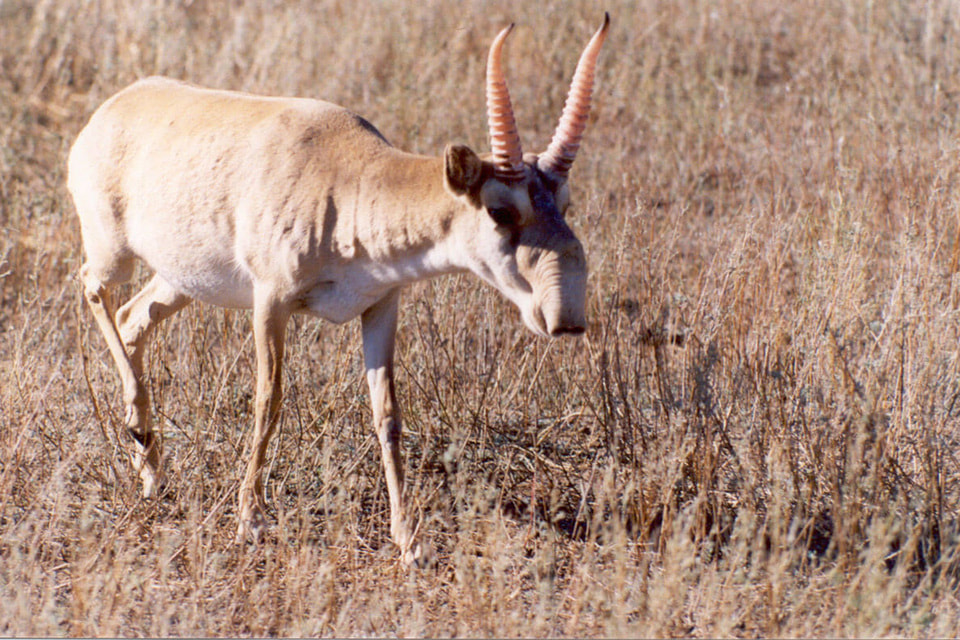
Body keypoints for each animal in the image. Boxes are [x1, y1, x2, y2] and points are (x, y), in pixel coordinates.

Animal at [65, 13, 608, 564]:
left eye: (563, 200)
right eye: (500, 209)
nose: (565, 318)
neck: (347, 180)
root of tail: (115, 106)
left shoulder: (382, 305)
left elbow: (387, 415)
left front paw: (409, 540)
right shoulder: (271, 302)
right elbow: (269, 400)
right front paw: (251, 520)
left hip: (181, 280)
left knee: (133, 317)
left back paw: (151, 470)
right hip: (114, 256)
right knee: (92, 287)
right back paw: (139, 431)